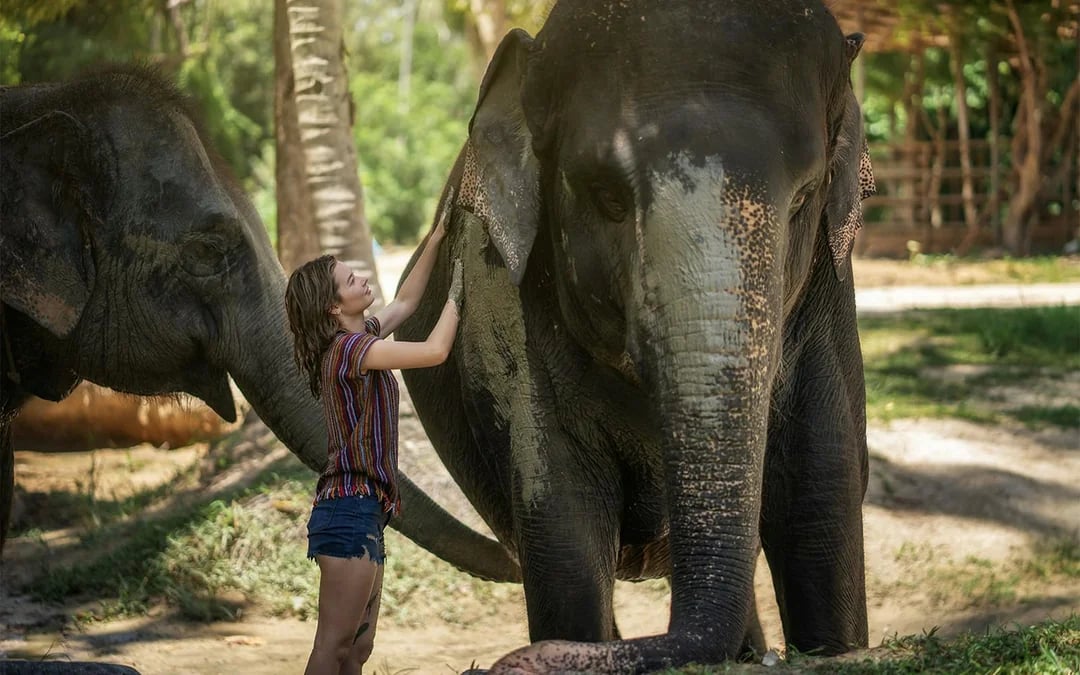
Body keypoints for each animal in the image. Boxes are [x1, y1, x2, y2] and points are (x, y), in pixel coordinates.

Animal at [396, 0, 876, 670]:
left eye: (804, 197)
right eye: (607, 196)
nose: (512, 661)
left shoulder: (829, 294)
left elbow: (821, 495)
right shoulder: (513, 304)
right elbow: (564, 525)